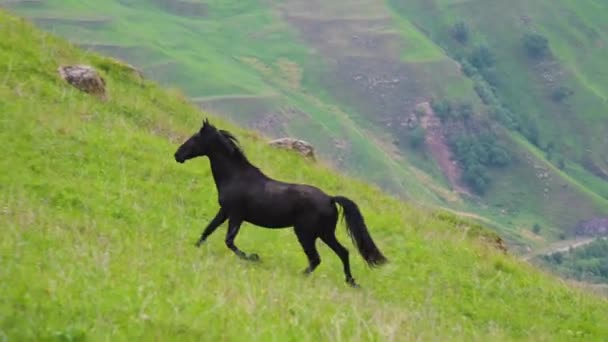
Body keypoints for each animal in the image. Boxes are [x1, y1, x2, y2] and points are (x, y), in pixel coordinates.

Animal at [173, 120, 388, 286]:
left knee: (316, 258)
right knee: (343, 252)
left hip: (306, 233)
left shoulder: (236, 215)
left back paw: (302, 276)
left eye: (195, 139)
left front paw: (254, 257)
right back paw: (351, 282)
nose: (177, 155)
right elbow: (208, 230)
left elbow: (229, 241)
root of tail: (330, 198)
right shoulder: (224, 211)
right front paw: (195, 246)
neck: (235, 176)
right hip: (324, 233)